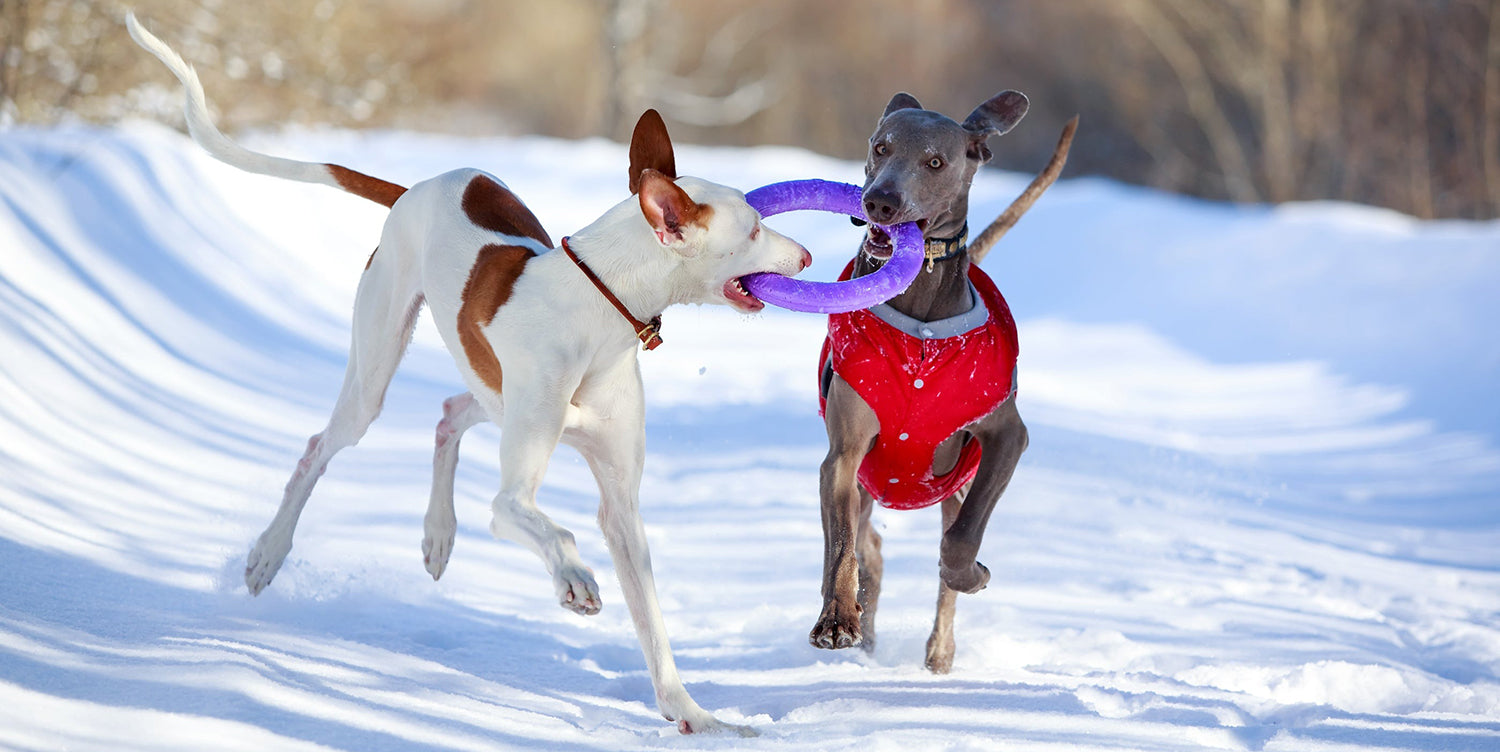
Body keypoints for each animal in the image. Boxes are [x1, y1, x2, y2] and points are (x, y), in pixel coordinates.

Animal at [129, 10, 810, 732]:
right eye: (754, 228)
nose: (806, 254)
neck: (598, 306)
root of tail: (415, 189)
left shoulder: (621, 506)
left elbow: (652, 622)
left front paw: (695, 715)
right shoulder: (514, 499)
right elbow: (533, 518)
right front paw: (574, 578)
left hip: (491, 393)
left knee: (450, 414)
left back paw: (437, 534)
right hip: (376, 373)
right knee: (321, 446)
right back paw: (268, 552)